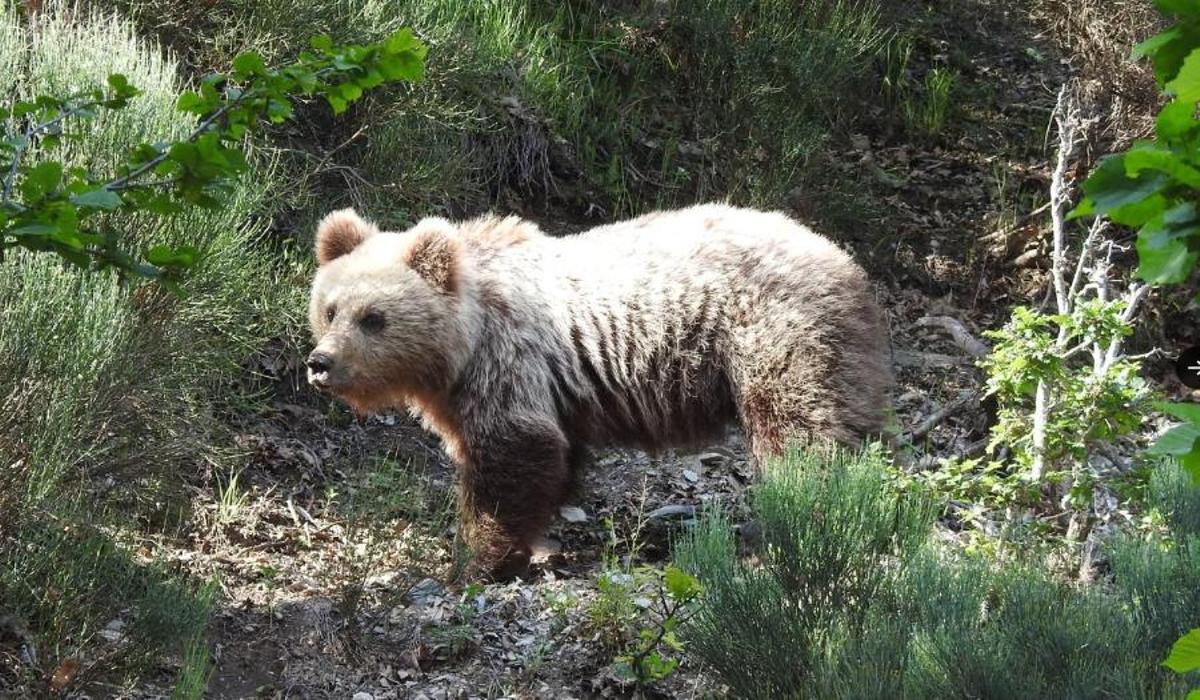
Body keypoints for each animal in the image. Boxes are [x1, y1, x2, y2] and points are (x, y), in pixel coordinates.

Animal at [307, 202, 892, 581]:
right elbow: (555, 456)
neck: (459, 348)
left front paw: (475, 559)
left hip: (774, 334)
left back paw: (798, 512)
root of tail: (845, 261)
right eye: (330, 309)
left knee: (799, 432)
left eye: (374, 318)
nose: (320, 362)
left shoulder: (508, 361)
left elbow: (512, 452)